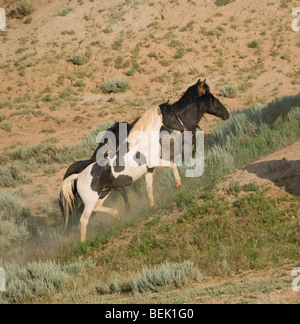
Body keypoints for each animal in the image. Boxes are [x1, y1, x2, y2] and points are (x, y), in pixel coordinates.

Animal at [59, 105, 184, 242]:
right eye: (171, 114)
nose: (182, 129)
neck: (142, 143)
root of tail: (78, 176)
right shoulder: (155, 162)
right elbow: (173, 165)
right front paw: (178, 185)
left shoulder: (149, 170)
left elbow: (149, 189)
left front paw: (153, 206)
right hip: (90, 200)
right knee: (83, 219)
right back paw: (83, 242)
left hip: (103, 193)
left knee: (96, 208)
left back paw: (117, 215)